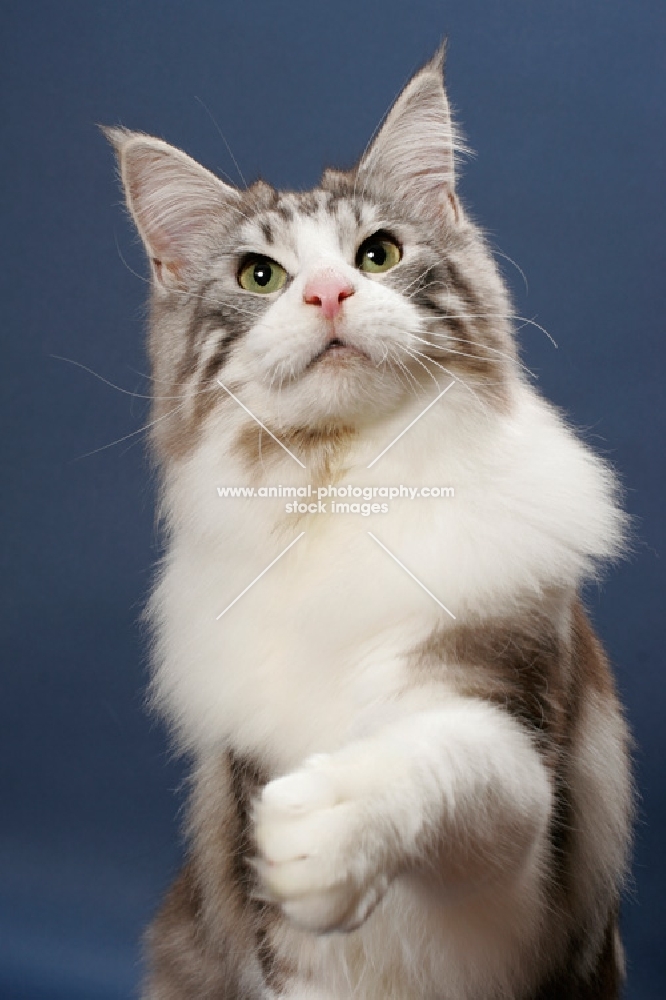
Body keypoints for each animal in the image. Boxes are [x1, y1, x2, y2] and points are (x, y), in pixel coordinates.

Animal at [106, 48, 632, 1000]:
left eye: (378, 254)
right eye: (260, 276)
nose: (327, 292)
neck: (339, 491)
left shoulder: (525, 781)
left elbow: (455, 758)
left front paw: (337, 815)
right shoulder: (275, 902)